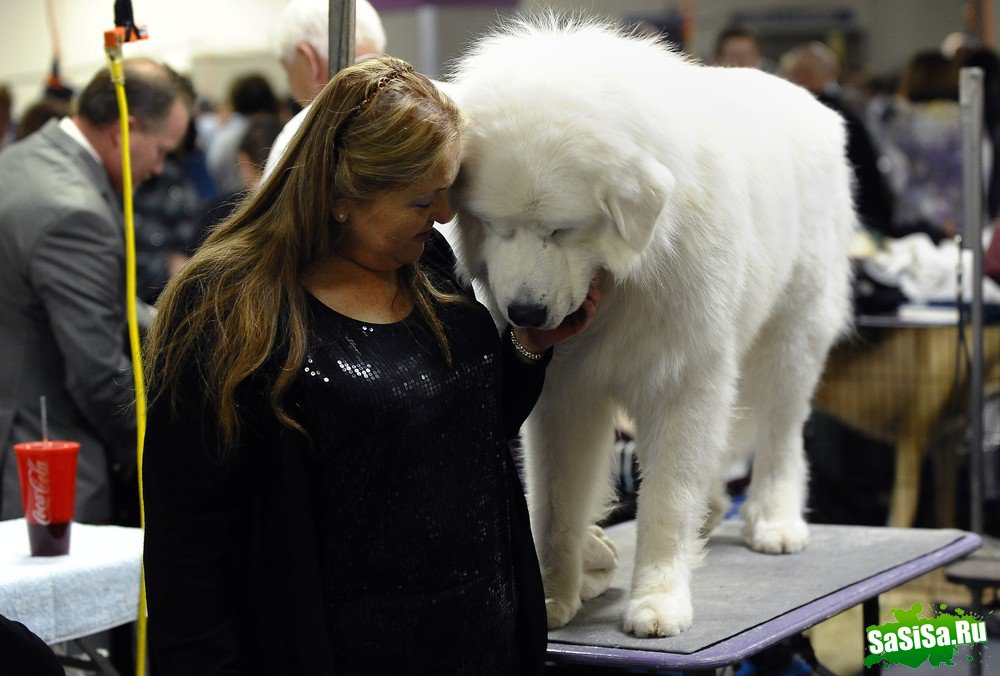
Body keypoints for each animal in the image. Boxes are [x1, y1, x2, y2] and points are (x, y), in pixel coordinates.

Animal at [450, 17, 856, 640]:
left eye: (561, 230)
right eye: (497, 227)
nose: (524, 314)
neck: (625, 281)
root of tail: (807, 100)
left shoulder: (683, 378)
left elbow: (667, 500)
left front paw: (659, 600)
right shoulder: (563, 392)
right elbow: (555, 502)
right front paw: (554, 594)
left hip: (793, 335)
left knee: (782, 433)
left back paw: (775, 520)